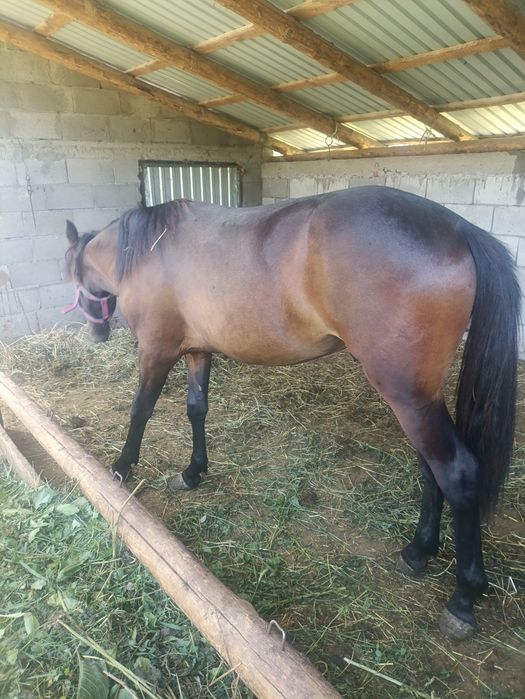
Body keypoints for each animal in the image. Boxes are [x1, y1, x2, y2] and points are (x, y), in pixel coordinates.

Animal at [64, 185, 521, 641]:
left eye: (71, 273)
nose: (96, 332)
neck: (146, 250)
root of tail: (458, 228)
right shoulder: (197, 350)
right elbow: (197, 409)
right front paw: (193, 471)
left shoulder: (156, 350)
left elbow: (141, 409)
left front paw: (122, 467)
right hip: (419, 399)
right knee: (431, 469)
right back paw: (419, 550)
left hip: (408, 398)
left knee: (456, 472)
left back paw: (463, 597)